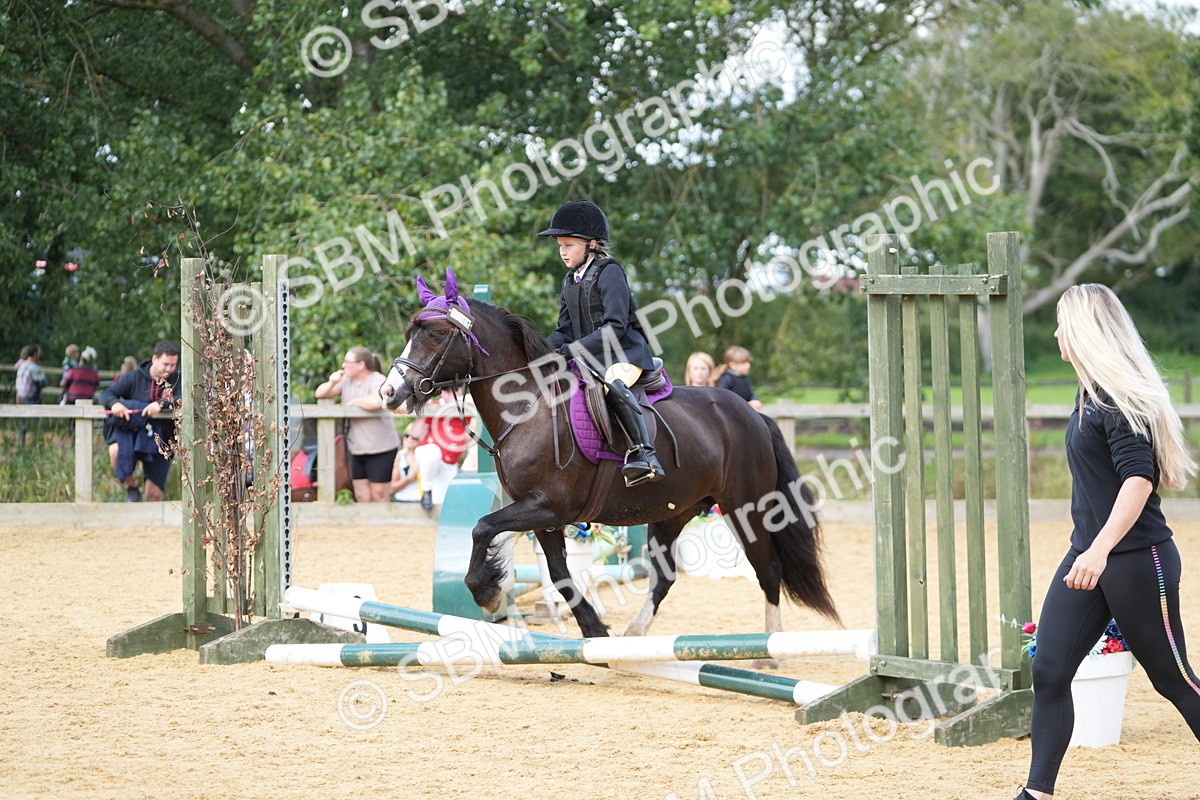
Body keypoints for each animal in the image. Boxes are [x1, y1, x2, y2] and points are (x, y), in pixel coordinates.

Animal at [381, 270, 840, 640]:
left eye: (435, 335)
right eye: (410, 334)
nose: (390, 393)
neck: (530, 407)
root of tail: (752, 415)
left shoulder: (546, 506)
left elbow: (481, 528)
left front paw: (488, 593)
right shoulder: (543, 515)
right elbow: (559, 574)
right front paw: (593, 629)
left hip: (748, 507)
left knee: (768, 569)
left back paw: (769, 650)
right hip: (674, 512)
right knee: (664, 578)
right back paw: (634, 635)